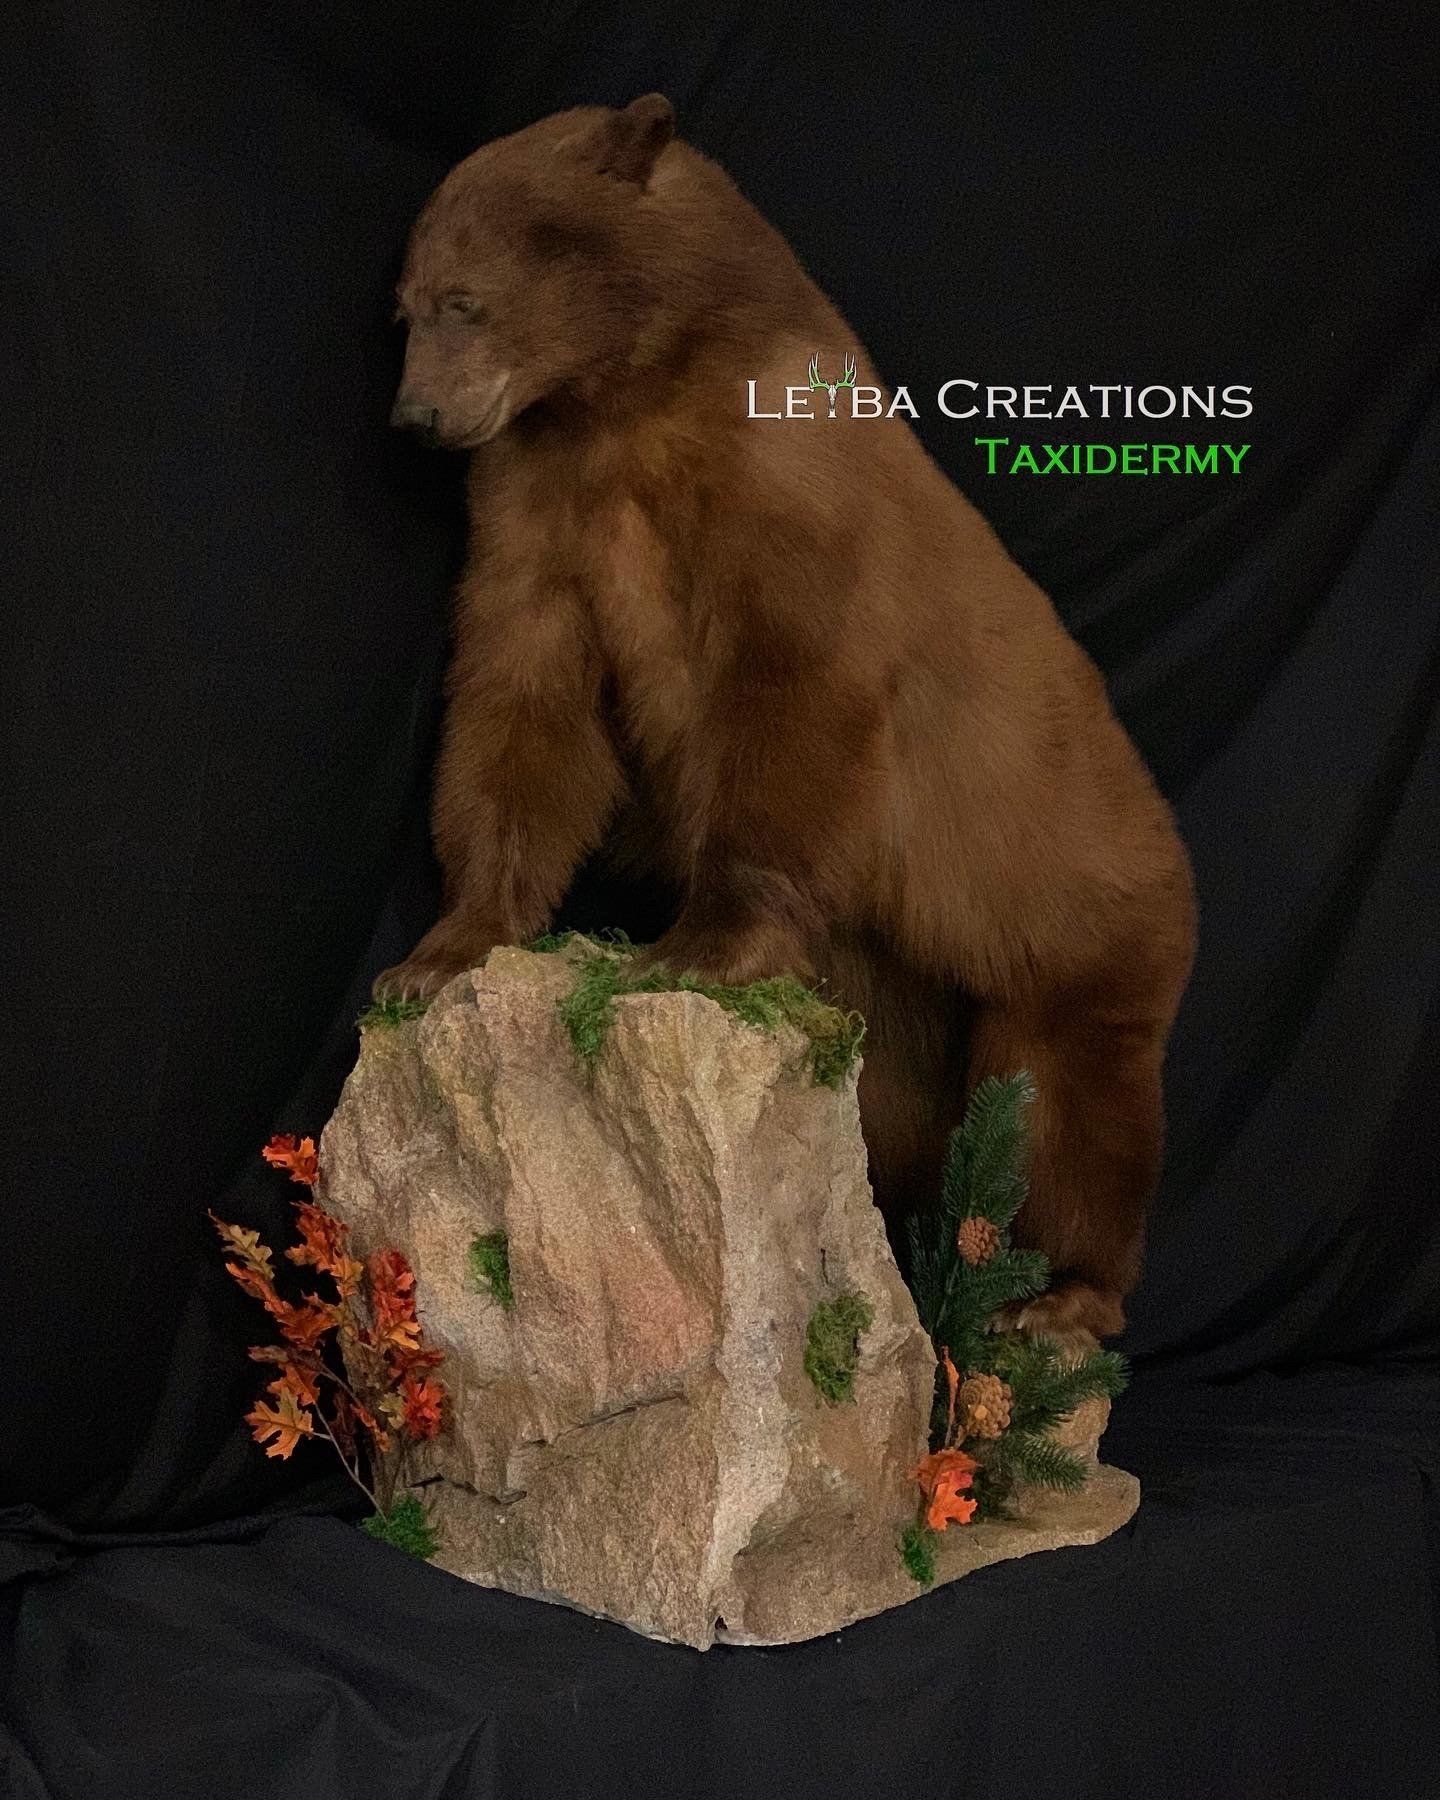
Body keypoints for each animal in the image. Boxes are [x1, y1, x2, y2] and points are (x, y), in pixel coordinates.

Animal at [375, 94, 1197, 1345]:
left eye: (463, 300)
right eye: (407, 307)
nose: (418, 417)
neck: (631, 392)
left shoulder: (788, 483)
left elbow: (788, 699)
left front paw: (694, 947)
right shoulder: (539, 501)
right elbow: (522, 692)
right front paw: (441, 952)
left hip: (1074, 914)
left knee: (1062, 1103)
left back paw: (1059, 1293)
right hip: (893, 983)